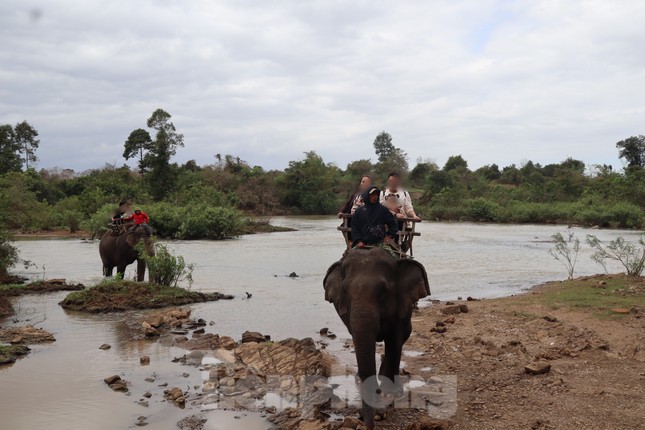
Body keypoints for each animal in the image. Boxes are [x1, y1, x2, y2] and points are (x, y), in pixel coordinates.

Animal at [322, 247, 428, 428]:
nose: (368, 424)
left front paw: (388, 397)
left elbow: (395, 340)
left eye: (383, 290)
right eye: (345, 291)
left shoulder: (402, 306)